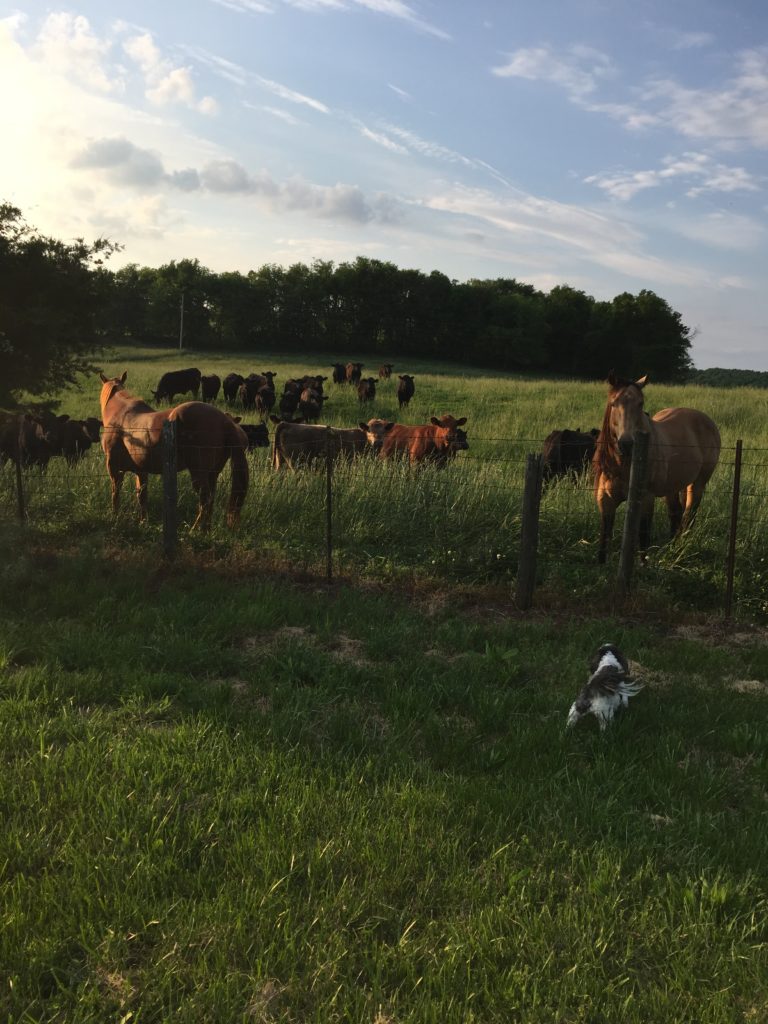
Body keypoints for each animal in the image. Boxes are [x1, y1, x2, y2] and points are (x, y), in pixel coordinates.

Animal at [98, 370, 249, 528]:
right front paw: (143, 521)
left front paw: (115, 516)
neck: (121, 415)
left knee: (205, 500)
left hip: (199, 474)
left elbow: (116, 493)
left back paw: (194, 529)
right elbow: (142, 496)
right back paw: (205, 529)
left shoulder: (114, 468)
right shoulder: (141, 470)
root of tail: (225, 421)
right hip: (213, 473)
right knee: (211, 500)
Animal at [593, 372, 720, 565]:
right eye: (613, 403)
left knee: (689, 515)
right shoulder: (606, 500)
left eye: (640, 403)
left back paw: (682, 547)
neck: (624, 464)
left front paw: (643, 564)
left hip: (697, 484)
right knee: (676, 513)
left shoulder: (646, 498)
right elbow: (604, 536)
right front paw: (601, 563)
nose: (627, 444)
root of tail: (707, 421)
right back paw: (672, 547)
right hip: (673, 487)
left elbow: (643, 534)